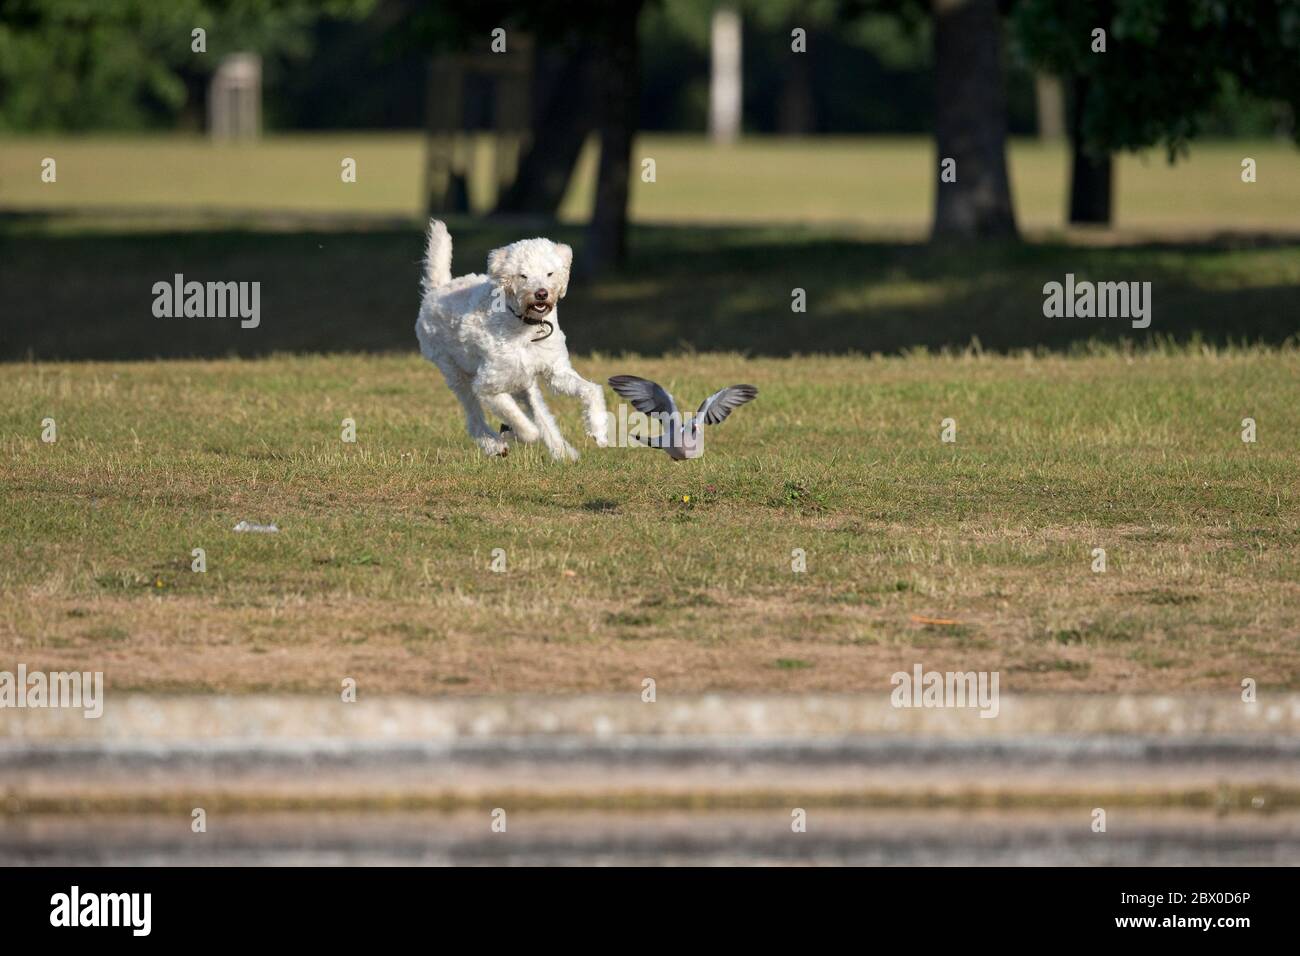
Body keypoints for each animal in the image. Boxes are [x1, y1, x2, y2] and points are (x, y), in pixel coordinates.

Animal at [413, 221, 611, 460]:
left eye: (549, 273)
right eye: (523, 275)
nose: (541, 294)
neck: (525, 325)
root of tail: (436, 290)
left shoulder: (556, 371)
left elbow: (592, 390)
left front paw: (598, 429)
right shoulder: (486, 384)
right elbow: (514, 416)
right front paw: (519, 432)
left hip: (525, 384)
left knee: (542, 415)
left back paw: (562, 452)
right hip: (455, 372)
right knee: (474, 418)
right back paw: (495, 445)